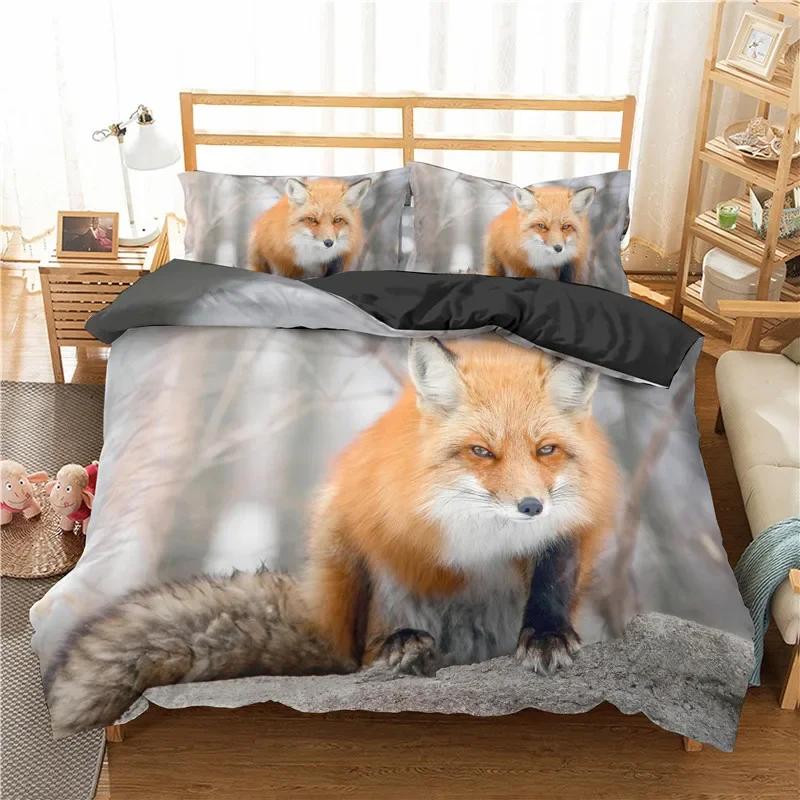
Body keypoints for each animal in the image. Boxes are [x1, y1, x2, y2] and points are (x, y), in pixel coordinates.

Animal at [44, 338, 619, 735]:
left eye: (546, 450)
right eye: (481, 451)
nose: (531, 506)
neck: (482, 537)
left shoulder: (569, 525)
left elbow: (551, 582)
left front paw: (546, 635)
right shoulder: (383, 525)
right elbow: (396, 595)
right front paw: (399, 647)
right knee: (357, 656)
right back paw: (402, 653)